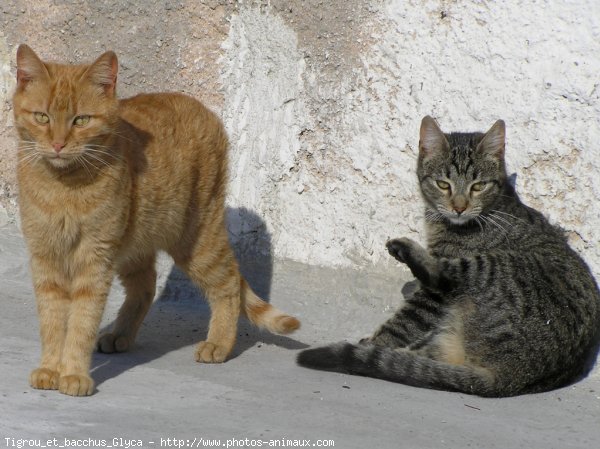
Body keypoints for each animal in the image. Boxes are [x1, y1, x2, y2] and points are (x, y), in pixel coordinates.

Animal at [11, 44, 298, 396]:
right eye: (42, 117)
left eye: (81, 120)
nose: (58, 144)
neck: (63, 186)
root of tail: (201, 107)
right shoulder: (46, 258)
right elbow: (52, 321)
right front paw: (50, 369)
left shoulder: (94, 259)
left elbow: (80, 322)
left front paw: (74, 374)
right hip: (134, 244)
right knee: (146, 285)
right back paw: (120, 335)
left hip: (196, 240)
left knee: (229, 281)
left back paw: (218, 343)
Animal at [298, 115, 600, 396]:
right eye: (443, 185)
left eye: (478, 186)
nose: (459, 207)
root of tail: (513, 378)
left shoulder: (433, 296)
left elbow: (404, 322)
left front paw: (375, 342)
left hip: (489, 267)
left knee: (441, 276)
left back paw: (404, 250)